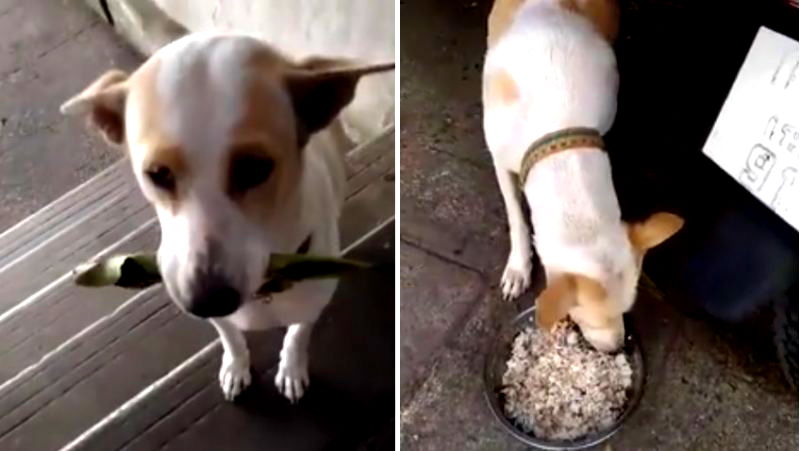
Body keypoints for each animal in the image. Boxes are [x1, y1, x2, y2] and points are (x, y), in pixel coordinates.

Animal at [61, 33, 392, 404]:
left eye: (255, 168)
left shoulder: (309, 310)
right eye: (157, 174)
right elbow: (232, 339)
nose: (208, 299)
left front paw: (291, 368)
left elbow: (296, 337)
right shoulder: (220, 318)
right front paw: (236, 366)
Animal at [484, 0, 684, 352]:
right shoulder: (500, 158)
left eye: (627, 309)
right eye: (586, 318)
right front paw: (519, 268)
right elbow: (516, 217)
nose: (618, 347)